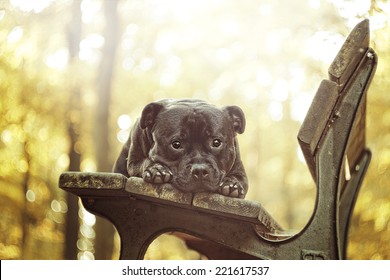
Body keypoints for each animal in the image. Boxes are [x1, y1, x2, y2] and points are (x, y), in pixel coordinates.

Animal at [112, 99, 248, 198]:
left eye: (216, 142)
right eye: (176, 144)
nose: (200, 170)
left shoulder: (240, 172)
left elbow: (238, 178)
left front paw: (232, 184)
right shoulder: (133, 162)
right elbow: (145, 161)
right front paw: (157, 169)